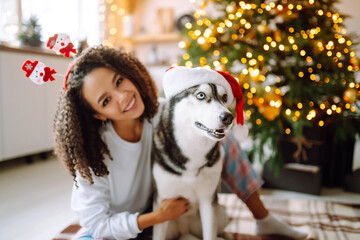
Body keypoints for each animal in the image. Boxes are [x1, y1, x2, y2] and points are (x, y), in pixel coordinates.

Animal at [151, 76, 233, 239]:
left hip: (221, 213)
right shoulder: (163, 204)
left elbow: (210, 235)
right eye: (201, 95)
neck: (193, 148)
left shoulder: (208, 201)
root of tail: (185, 230)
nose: (228, 117)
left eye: (225, 97)